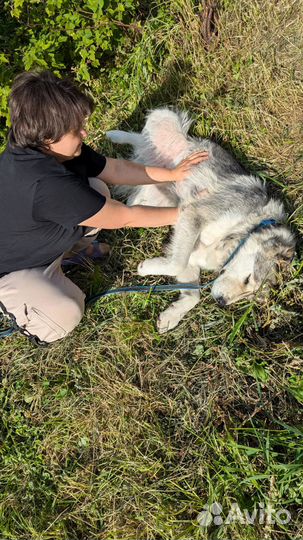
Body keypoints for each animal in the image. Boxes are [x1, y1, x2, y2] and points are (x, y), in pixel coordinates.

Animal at [107, 107, 296, 332]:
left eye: (249, 296)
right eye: (248, 280)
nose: (221, 302)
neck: (243, 228)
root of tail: (144, 159)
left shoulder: (193, 252)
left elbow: (192, 294)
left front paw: (170, 317)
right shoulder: (195, 214)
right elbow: (176, 264)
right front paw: (145, 268)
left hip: (156, 198)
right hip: (168, 119)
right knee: (141, 134)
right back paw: (114, 135)